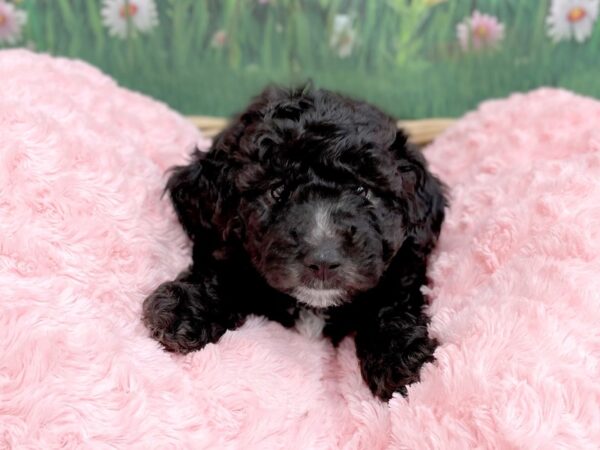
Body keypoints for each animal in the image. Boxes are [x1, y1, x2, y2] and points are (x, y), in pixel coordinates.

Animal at [143, 86, 446, 400]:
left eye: (363, 190)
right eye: (277, 190)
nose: (323, 260)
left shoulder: (404, 263)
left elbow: (392, 301)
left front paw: (401, 357)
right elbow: (223, 274)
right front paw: (183, 309)